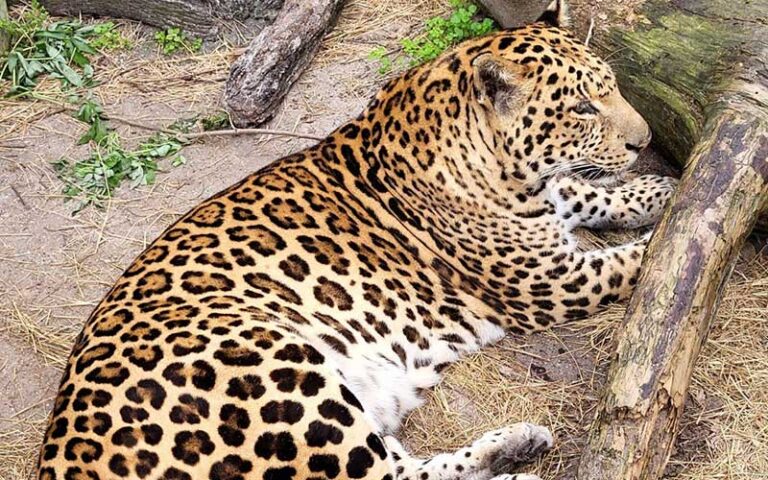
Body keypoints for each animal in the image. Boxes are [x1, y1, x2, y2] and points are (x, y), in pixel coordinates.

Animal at [34, 2, 680, 480]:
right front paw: (673, 217)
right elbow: (635, 257)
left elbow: (585, 193)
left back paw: (515, 444)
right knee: (385, 476)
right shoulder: (548, 281)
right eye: (581, 107)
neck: (498, 168)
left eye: (613, 88)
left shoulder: (548, 216)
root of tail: (63, 457)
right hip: (279, 365)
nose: (645, 139)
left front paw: (661, 189)